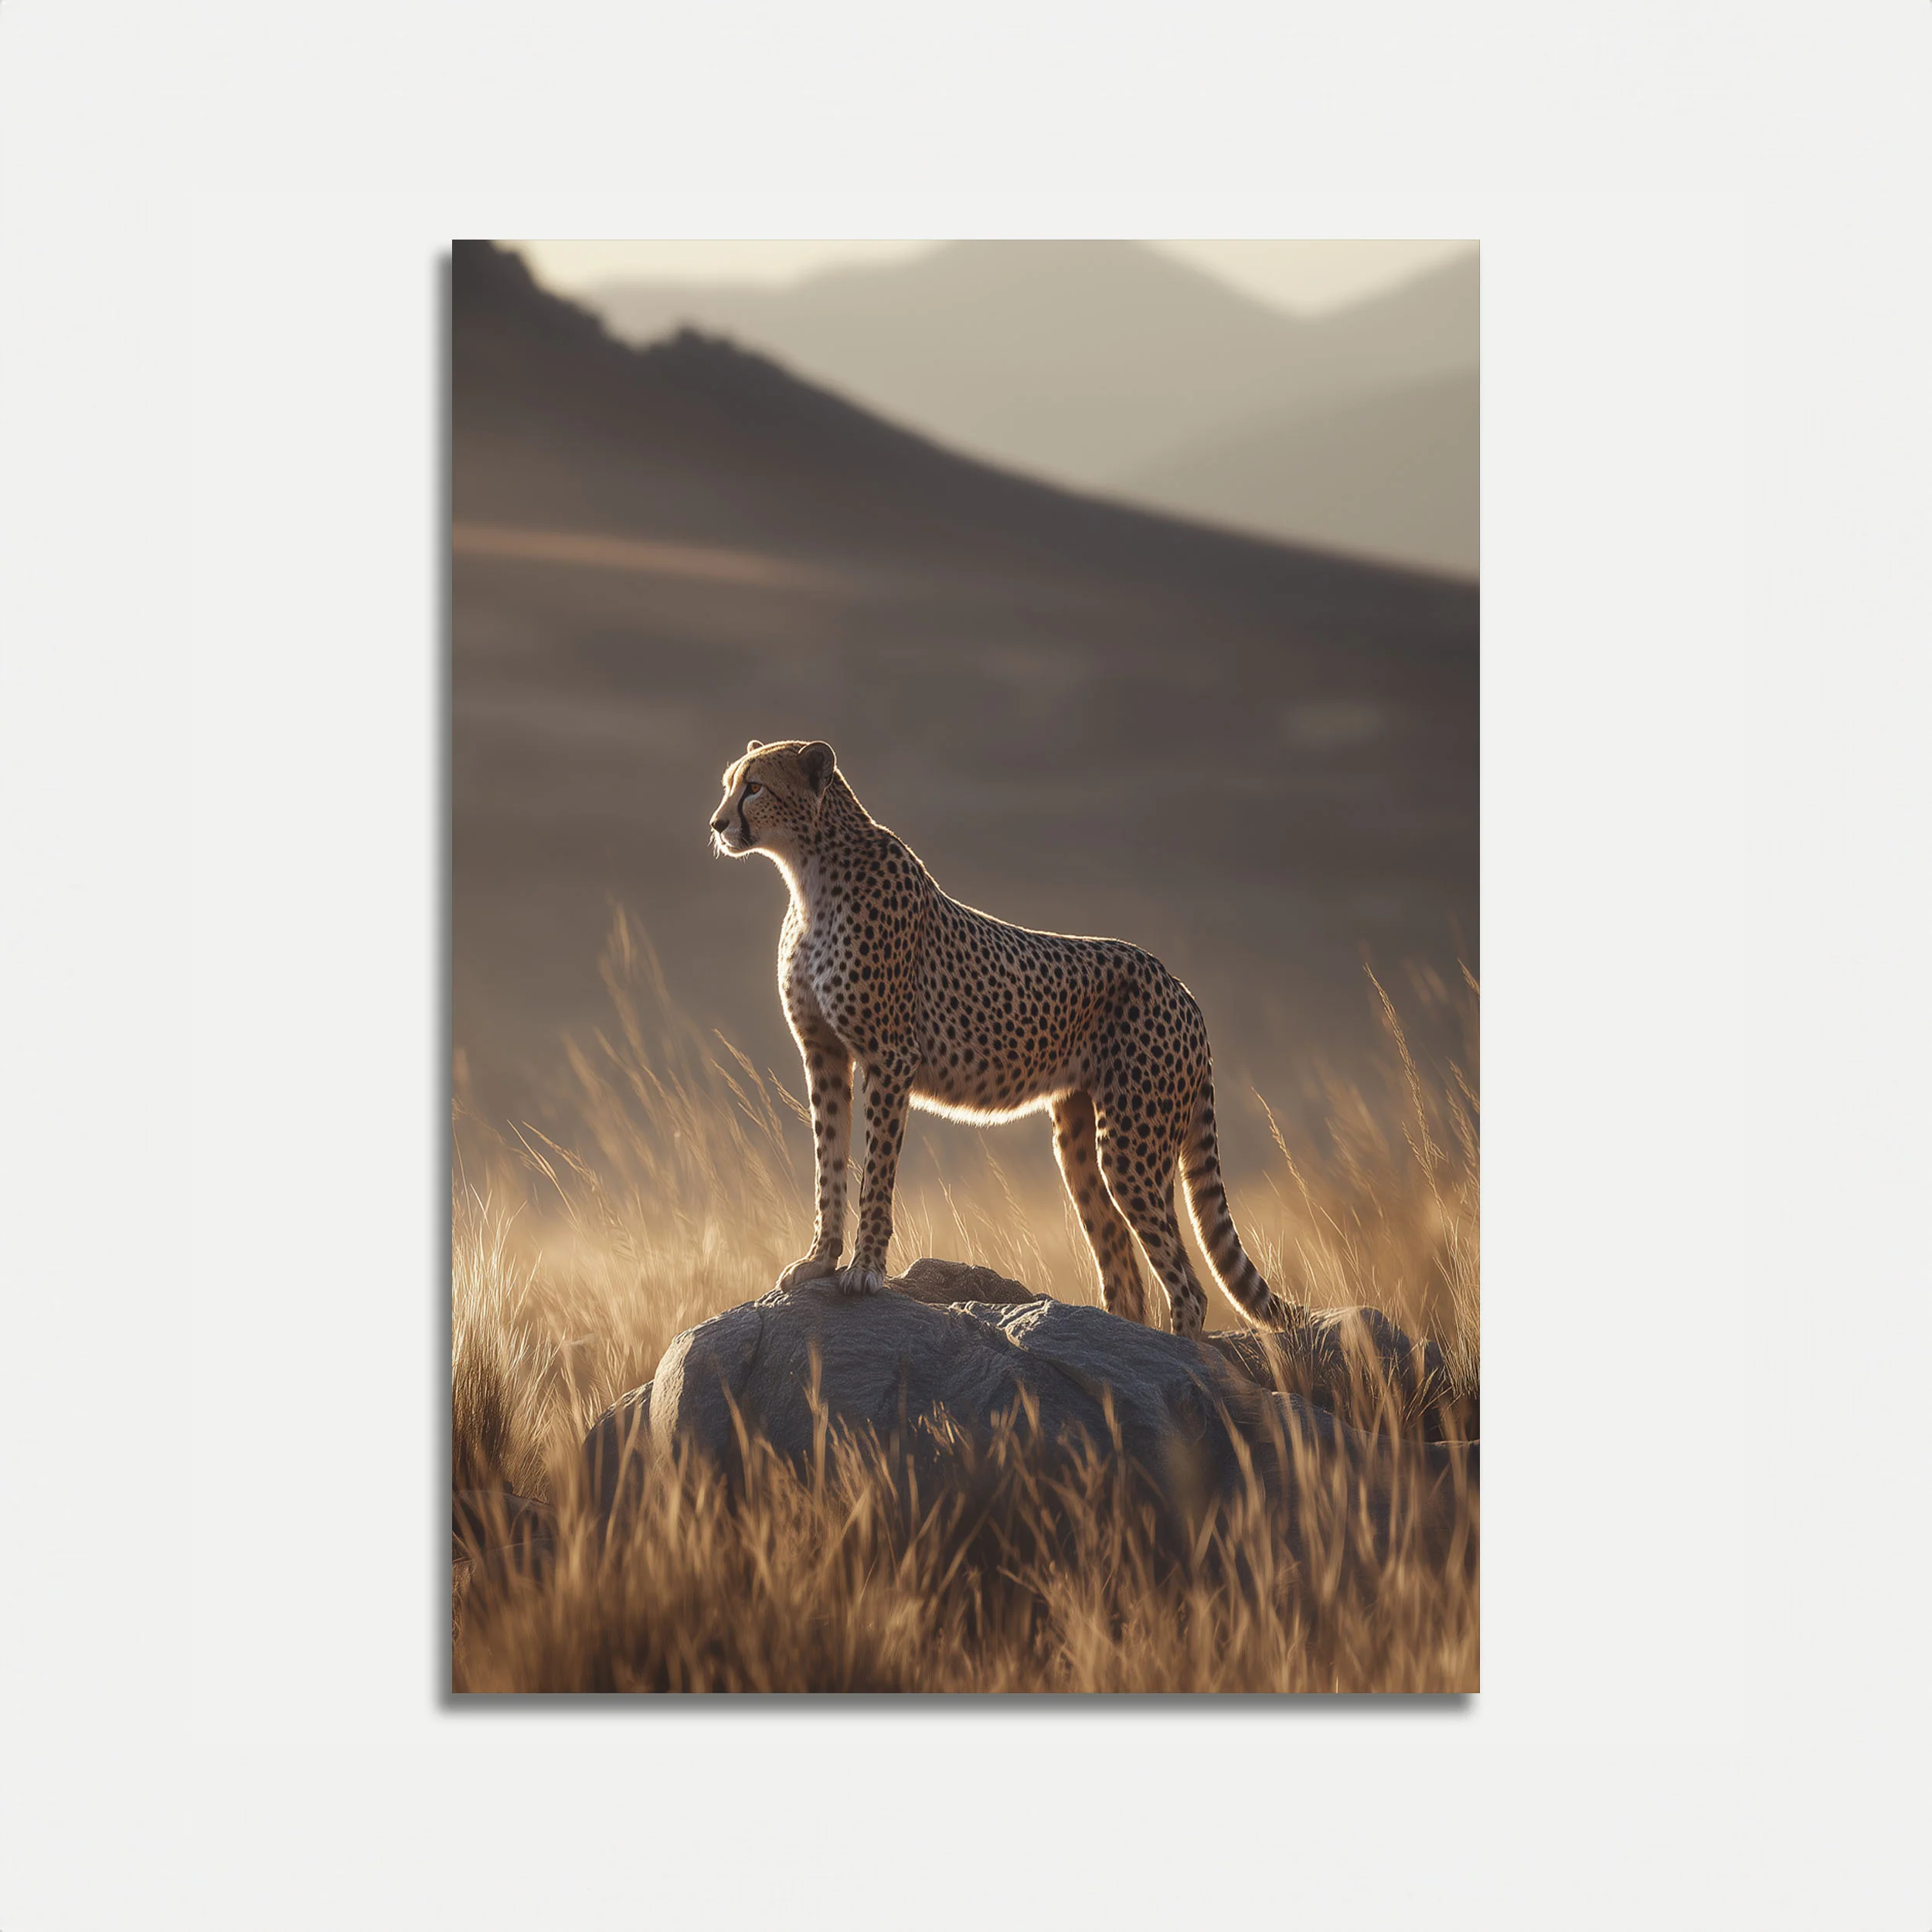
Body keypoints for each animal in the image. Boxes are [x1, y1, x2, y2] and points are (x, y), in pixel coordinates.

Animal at [708, 738, 1302, 1338]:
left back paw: (1173, 1354)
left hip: (1131, 1146)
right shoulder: (824, 1054)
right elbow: (827, 1162)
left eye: (754, 787)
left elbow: (875, 1172)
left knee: (1188, 1287)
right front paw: (819, 1261)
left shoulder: (890, 1058)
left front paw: (865, 1269)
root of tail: (1180, 985)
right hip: (1077, 1143)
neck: (808, 872)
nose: (717, 824)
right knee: (1124, 1275)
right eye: (729, 785)